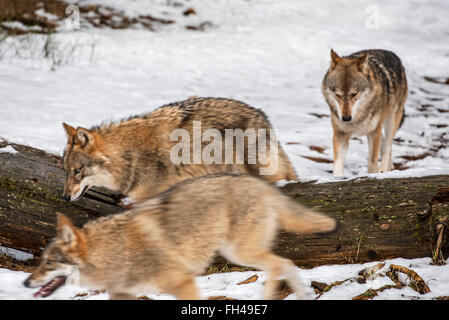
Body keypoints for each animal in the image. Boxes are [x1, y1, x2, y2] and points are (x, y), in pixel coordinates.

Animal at [23, 174, 332, 298]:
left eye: (49, 263)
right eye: (41, 261)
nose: (26, 283)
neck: (115, 251)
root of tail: (259, 183)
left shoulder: (184, 283)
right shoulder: (123, 294)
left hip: (239, 253)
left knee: (280, 264)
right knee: (287, 263)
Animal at [320, 48, 408, 176]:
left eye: (354, 94)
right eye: (338, 94)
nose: (346, 118)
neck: (357, 118)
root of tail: (390, 53)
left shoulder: (373, 132)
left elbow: (372, 162)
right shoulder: (340, 134)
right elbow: (338, 165)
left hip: (390, 122)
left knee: (387, 147)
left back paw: (384, 170)